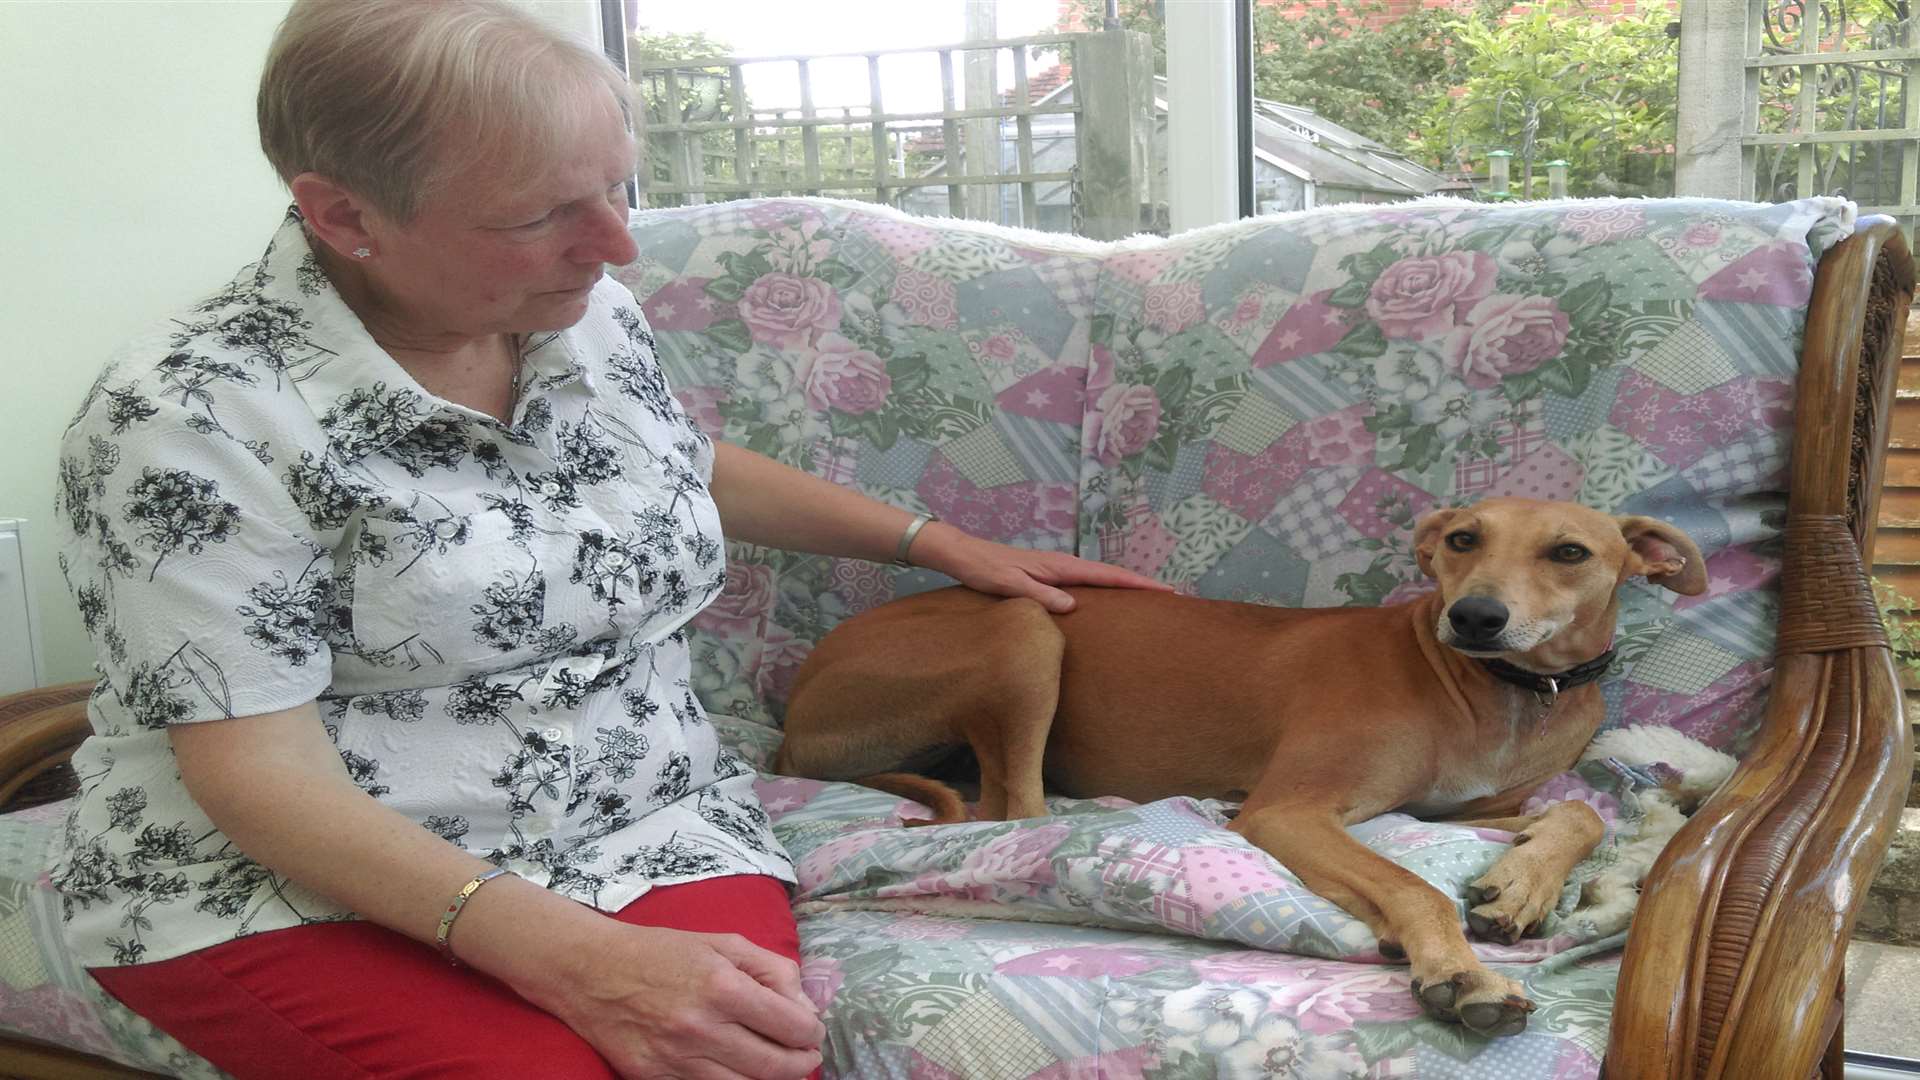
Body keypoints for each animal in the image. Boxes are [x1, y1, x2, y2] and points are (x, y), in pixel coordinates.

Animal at [771, 495, 1704, 1037]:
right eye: (1463, 540)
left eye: (1570, 553)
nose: (1475, 617)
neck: (1498, 692)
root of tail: (793, 717)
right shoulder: (1291, 810)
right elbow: (1413, 887)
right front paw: (1459, 969)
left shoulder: (1451, 809)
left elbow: (1576, 811)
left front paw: (1520, 882)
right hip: (1024, 626)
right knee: (1019, 811)